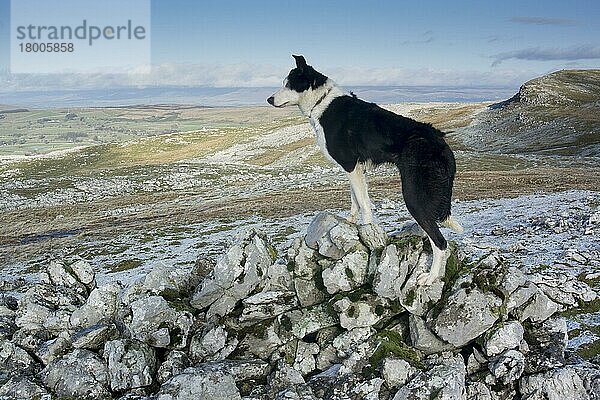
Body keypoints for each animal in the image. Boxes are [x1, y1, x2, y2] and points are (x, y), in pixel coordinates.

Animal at [268, 56, 464, 286]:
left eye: (289, 84)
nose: (269, 99)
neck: (321, 102)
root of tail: (441, 143)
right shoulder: (355, 169)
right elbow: (355, 199)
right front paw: (352, 223)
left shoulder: (350, 166)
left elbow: (363, 203)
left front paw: (367, 230)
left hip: (413, 197)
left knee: (440, 242)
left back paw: (430, 278)